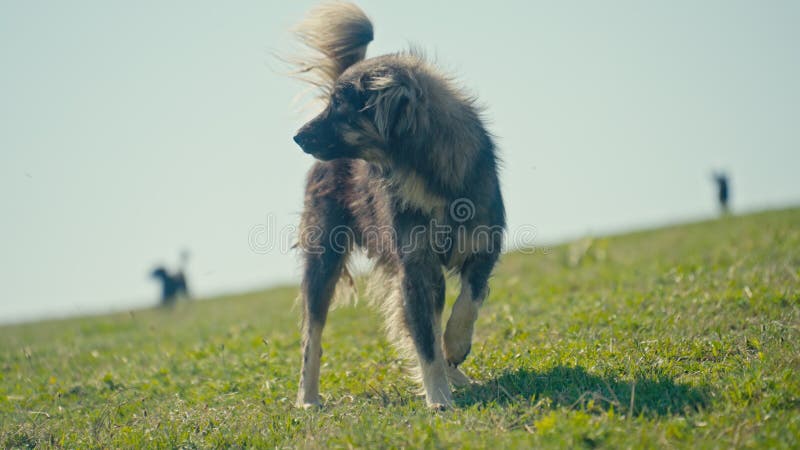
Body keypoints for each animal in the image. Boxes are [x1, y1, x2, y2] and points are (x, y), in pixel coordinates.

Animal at [290, 1, 506, 410]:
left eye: (340, 107)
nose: (297, 137)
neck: (421, 167)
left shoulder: (484, 246)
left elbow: (466, 304)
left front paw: (455, 347)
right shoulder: (415, 267)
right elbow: (424, 342)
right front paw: (438, 398)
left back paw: (457, 373)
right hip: (324, 259)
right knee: (313, 334)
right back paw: (307, 398)